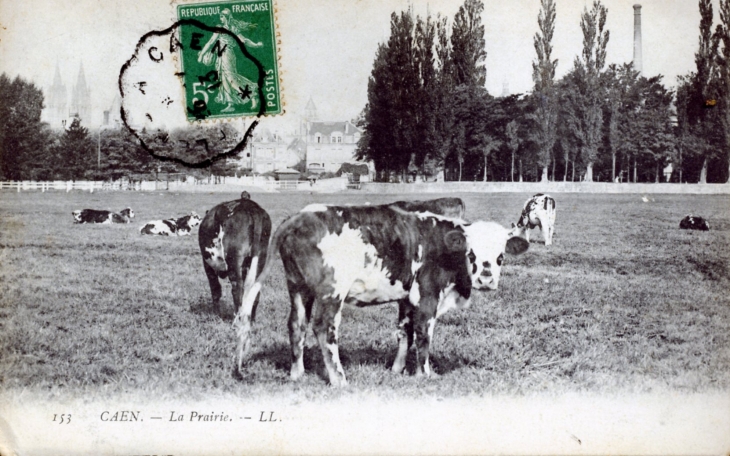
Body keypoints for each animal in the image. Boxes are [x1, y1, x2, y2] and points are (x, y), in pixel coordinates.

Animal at [236, 202, 528, 384]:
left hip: (297, 286)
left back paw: (297, 373)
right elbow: (424, 335)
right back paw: (339, 378)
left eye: (501, 255)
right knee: (323, 327)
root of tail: (302, 215)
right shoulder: (427, 296)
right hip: (332, 290)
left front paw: (397, 370)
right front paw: (425, 374)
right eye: (471, 252)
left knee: (296, 325)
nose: (486, 278)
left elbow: (405, 332)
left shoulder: (406, 298)